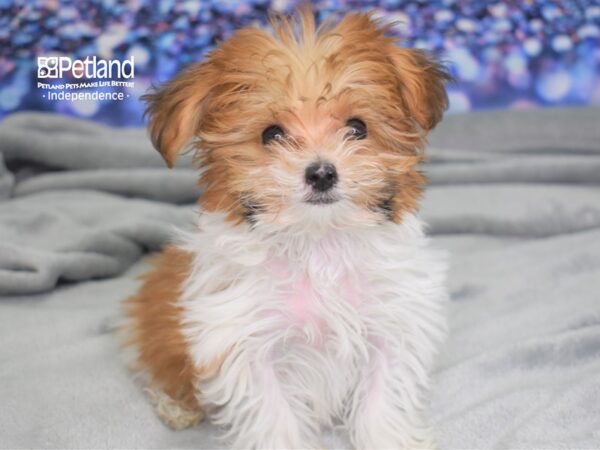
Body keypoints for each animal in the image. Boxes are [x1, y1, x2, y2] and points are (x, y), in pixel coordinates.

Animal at [123, 10, 450, 450]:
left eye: (358, 127)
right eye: (271, 134)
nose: (322, 173)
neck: (320, 243)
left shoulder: (392, 324)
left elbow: (383, 401)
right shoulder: (245, 345)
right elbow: (274, 417)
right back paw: (176, 407)